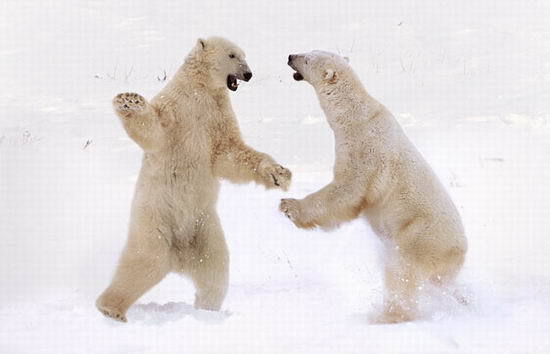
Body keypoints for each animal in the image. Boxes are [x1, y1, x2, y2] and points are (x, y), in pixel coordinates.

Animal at [96, 37, 294, 322]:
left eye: (244, 55)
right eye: (232, 55)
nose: (248, 74)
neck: (201, 88)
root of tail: (178, 258)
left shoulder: (218, 115)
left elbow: (229, 153)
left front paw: (279, 173)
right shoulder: (177, 107)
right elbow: (155, 132)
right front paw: (129, 101)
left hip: (204, 228)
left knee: (214, 269)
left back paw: (206, 310)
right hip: (155, 219)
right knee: (147, 259)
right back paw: (111, 309)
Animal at [282, 49, 468, 324]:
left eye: (308, 59)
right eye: (309, 51)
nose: (290, 55)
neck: (356, 116)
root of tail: (459, 252)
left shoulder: (364, 150)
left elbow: (347, 189)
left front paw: (289, 206)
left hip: (420, 236)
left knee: (401, 271)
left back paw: (387, 316)